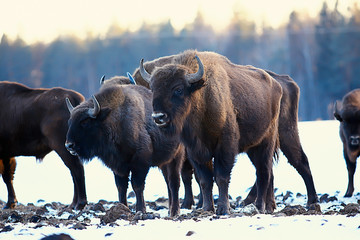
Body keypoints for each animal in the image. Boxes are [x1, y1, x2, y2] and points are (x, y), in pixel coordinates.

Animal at [0, 81, 86, 209]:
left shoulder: (4, 153)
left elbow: (6, 176)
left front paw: (9, 203)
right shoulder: (8, 153)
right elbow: (8, 175)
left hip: (63, 147)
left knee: (76, 169)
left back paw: (79, 204)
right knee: (74, 171)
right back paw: (73, 204)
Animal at [65, 81, 187, 217]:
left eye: (85, 121)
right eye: (70, 121)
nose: (69, 145)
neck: (115, 119)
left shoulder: (140, 162)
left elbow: (137, 185)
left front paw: (140, 209)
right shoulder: (118, 166)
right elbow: (121, 187)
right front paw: (123, 207)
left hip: (176, 157)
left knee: (174, 182)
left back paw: (175, 212)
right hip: (164, 162)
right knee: (168, 183)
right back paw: (170, 210)